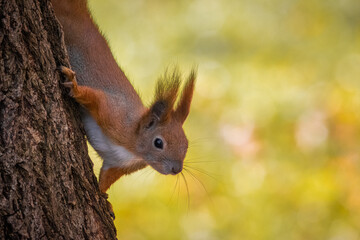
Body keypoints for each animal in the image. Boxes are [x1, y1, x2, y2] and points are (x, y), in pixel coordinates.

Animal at [52, 0, 195, 191]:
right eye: (158, 143)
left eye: (186, 144)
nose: (176, 169)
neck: (134, 150)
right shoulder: (114, 113)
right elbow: (94, 97)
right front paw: (74, 88)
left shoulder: (117, 164)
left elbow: (106, 178)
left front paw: (102, 196)